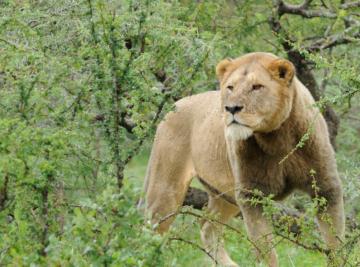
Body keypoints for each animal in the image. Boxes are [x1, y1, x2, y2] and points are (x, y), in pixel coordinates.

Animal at [142, 52, 344, 267]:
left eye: (257, 87)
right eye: (230, 87)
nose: (231, 108)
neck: (277, 138)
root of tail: (175, 104)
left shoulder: (325, 188)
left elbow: (336, 243)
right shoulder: (251, 195)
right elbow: (265, 250)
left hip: (224, 195)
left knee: (207, 226)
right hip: (166, 188)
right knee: (149, 229)